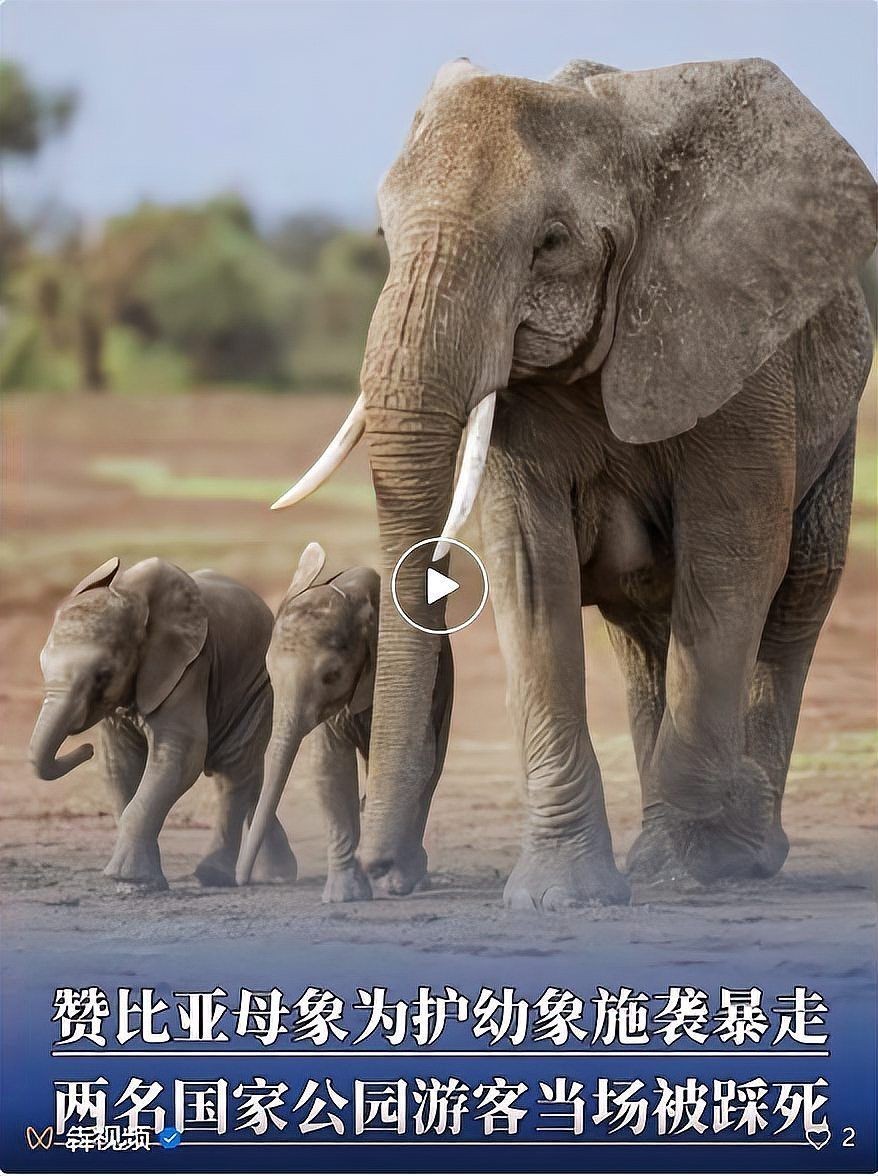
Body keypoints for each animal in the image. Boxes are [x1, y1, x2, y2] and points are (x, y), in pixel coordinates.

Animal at [30, 556, 297, 891]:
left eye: (103, 675)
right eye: (41, 665)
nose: (86, 749)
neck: (133, 598)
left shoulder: (189, 667)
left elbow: (182, 755)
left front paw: (129, 878)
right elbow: (119, 765)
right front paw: (140, 881)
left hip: (259, 687)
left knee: (232, 773)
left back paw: (214, 876)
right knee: (249, 775)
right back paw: (277, 874)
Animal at [236, 542, 453, 901]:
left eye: (332, 675)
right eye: (269, 670)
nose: (240, 880)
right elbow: (330, 767)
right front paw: (343, 897)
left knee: (430, 774)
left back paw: (406, 880)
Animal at [272, 57, 876, 909]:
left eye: (550, 243)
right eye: (384, 236)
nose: (384, 872)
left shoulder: (737, 353)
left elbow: (734, 559)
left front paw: (713, 841)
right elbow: (530, 572)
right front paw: (564, 896)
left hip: (837, 420)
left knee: (795, 599)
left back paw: (739, 848)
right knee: (647, 631)